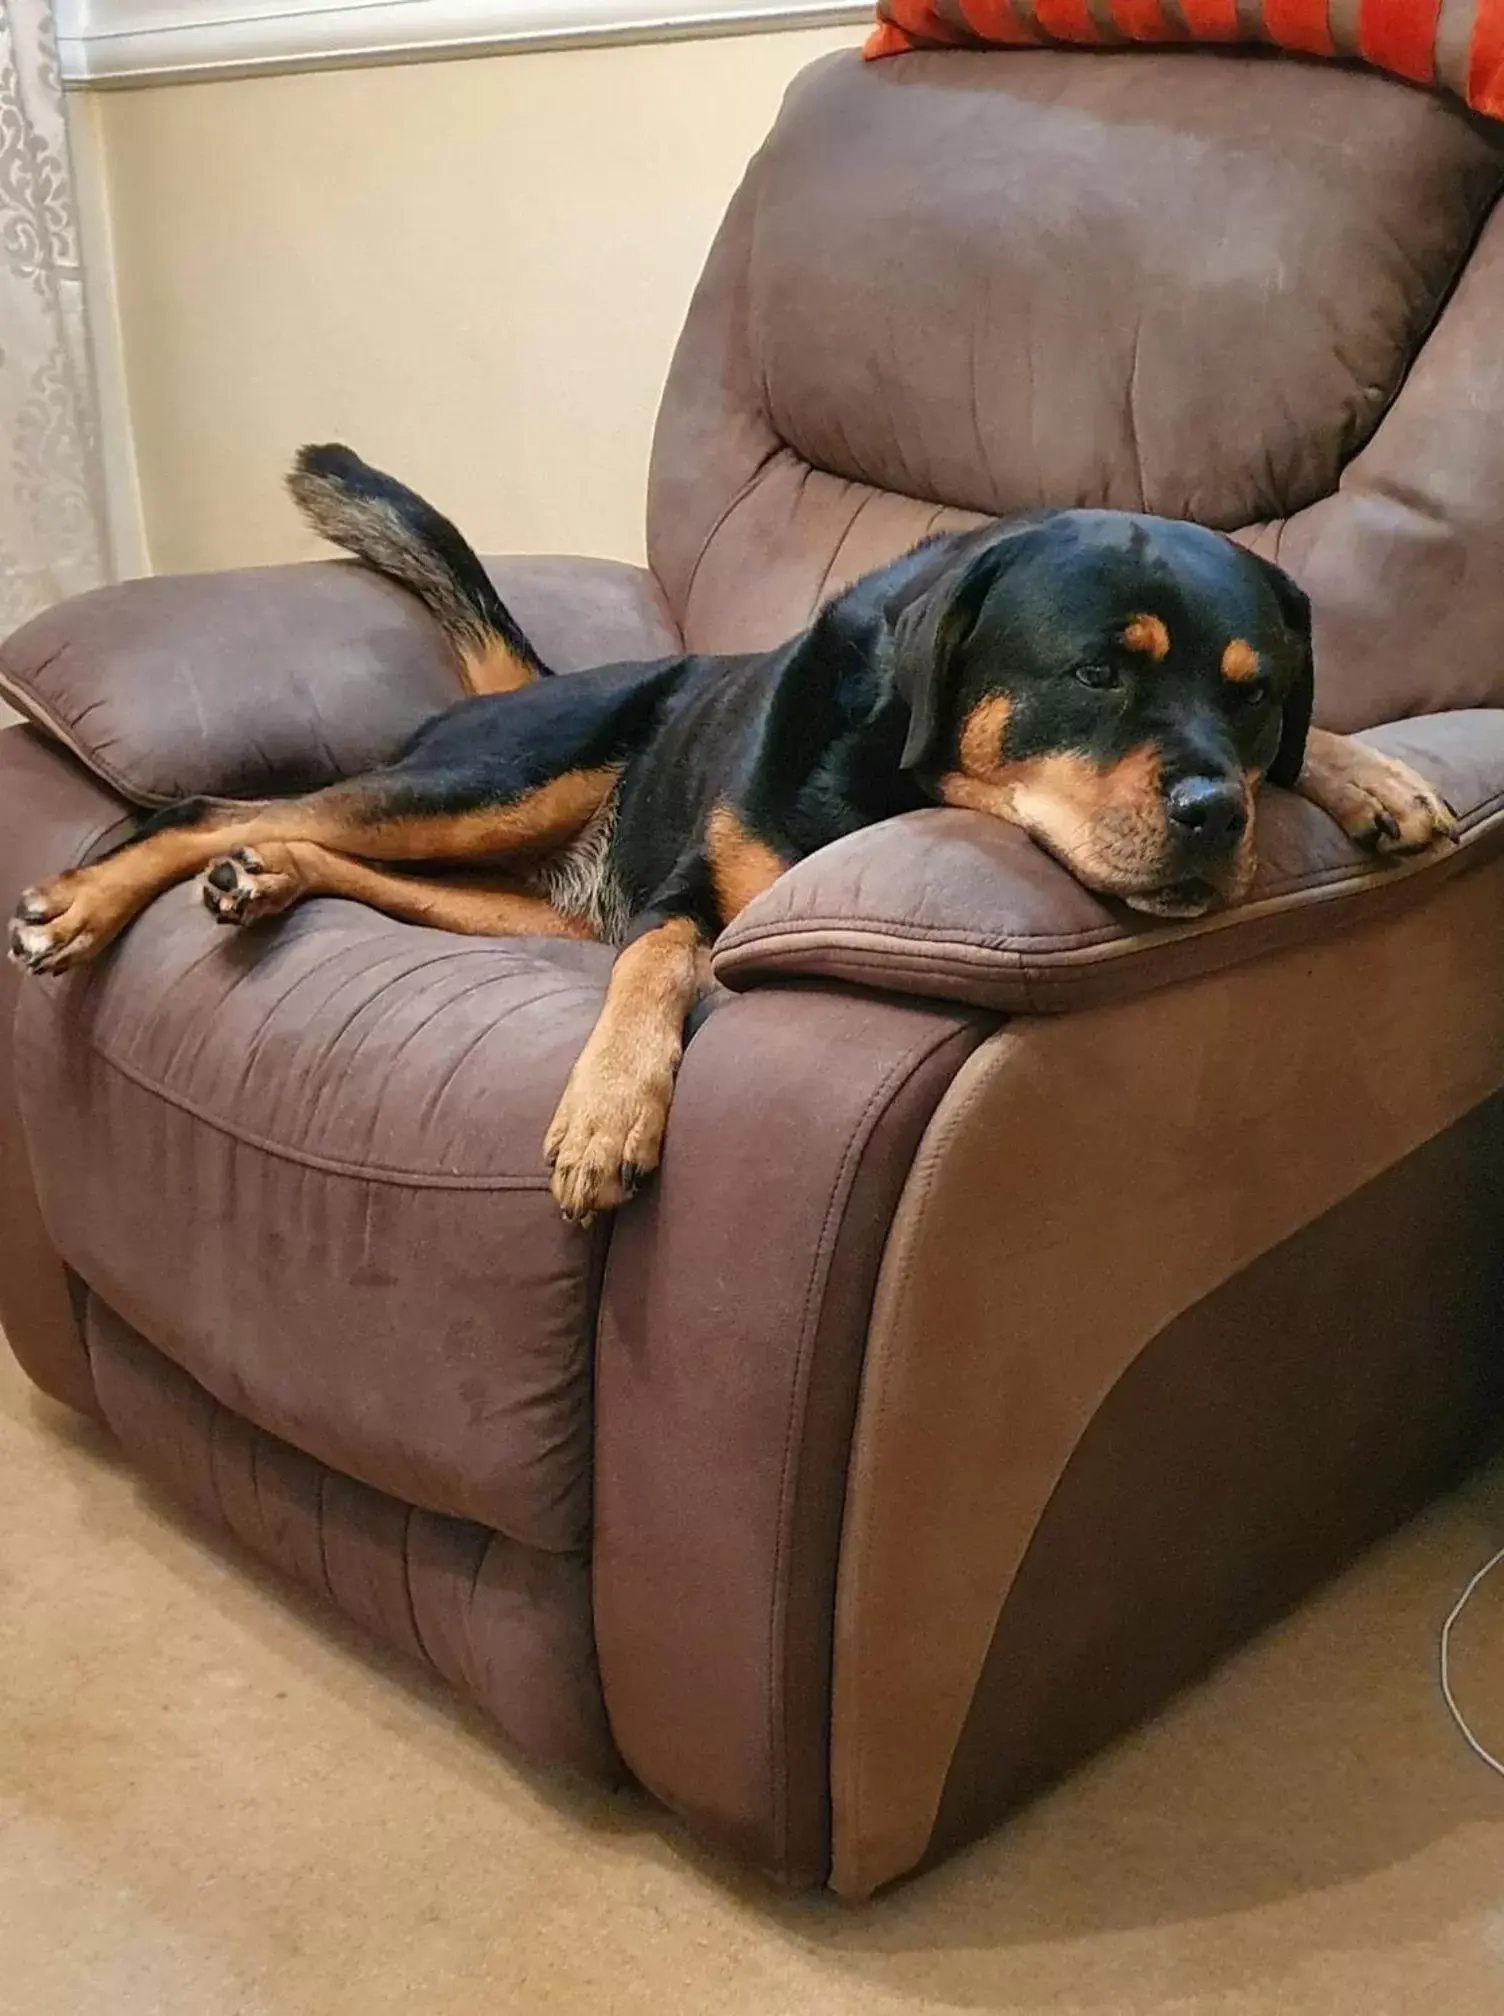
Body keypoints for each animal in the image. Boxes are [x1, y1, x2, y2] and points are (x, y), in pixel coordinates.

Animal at [5, 449, 1443, 1217]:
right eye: (1097, 673)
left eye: (1253, 695)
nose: (1214, 814)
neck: (892, 779)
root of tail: (530, 681)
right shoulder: (687, 896)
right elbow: (655, 971)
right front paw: (606, 1115)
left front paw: (1368, 774)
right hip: (492, 783)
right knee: (217, 805)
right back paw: (88, 901)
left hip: (507, 896)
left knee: (324, 851)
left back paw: (263, 879)